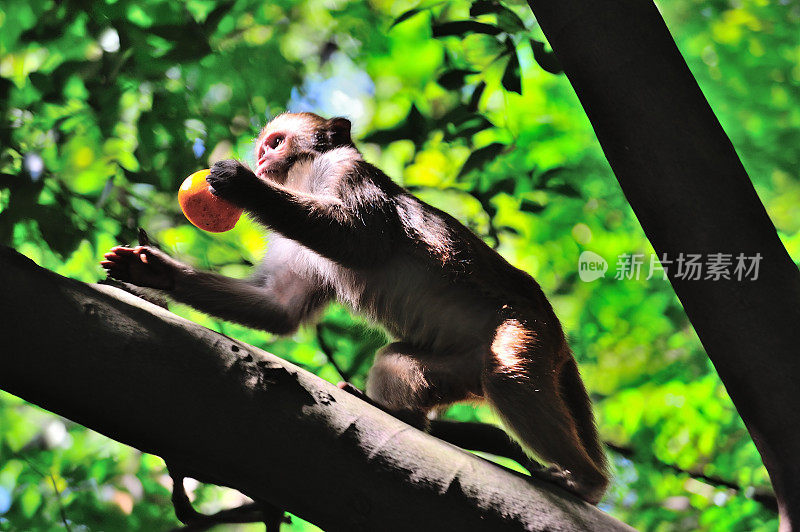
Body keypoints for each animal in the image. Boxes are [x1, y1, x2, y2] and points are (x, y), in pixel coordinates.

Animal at [103, 111, 608, 502]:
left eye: (275, 142)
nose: (261, 159)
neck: (306, 178)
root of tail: (555, 330)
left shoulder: (348, 173)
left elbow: (359, 241)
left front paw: (242, 185)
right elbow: (280, 308)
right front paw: (154, 273)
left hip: (523, 324)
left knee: (510, 377)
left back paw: (586, 482)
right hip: (464, 363)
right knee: (396, 364)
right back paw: (401, 416)